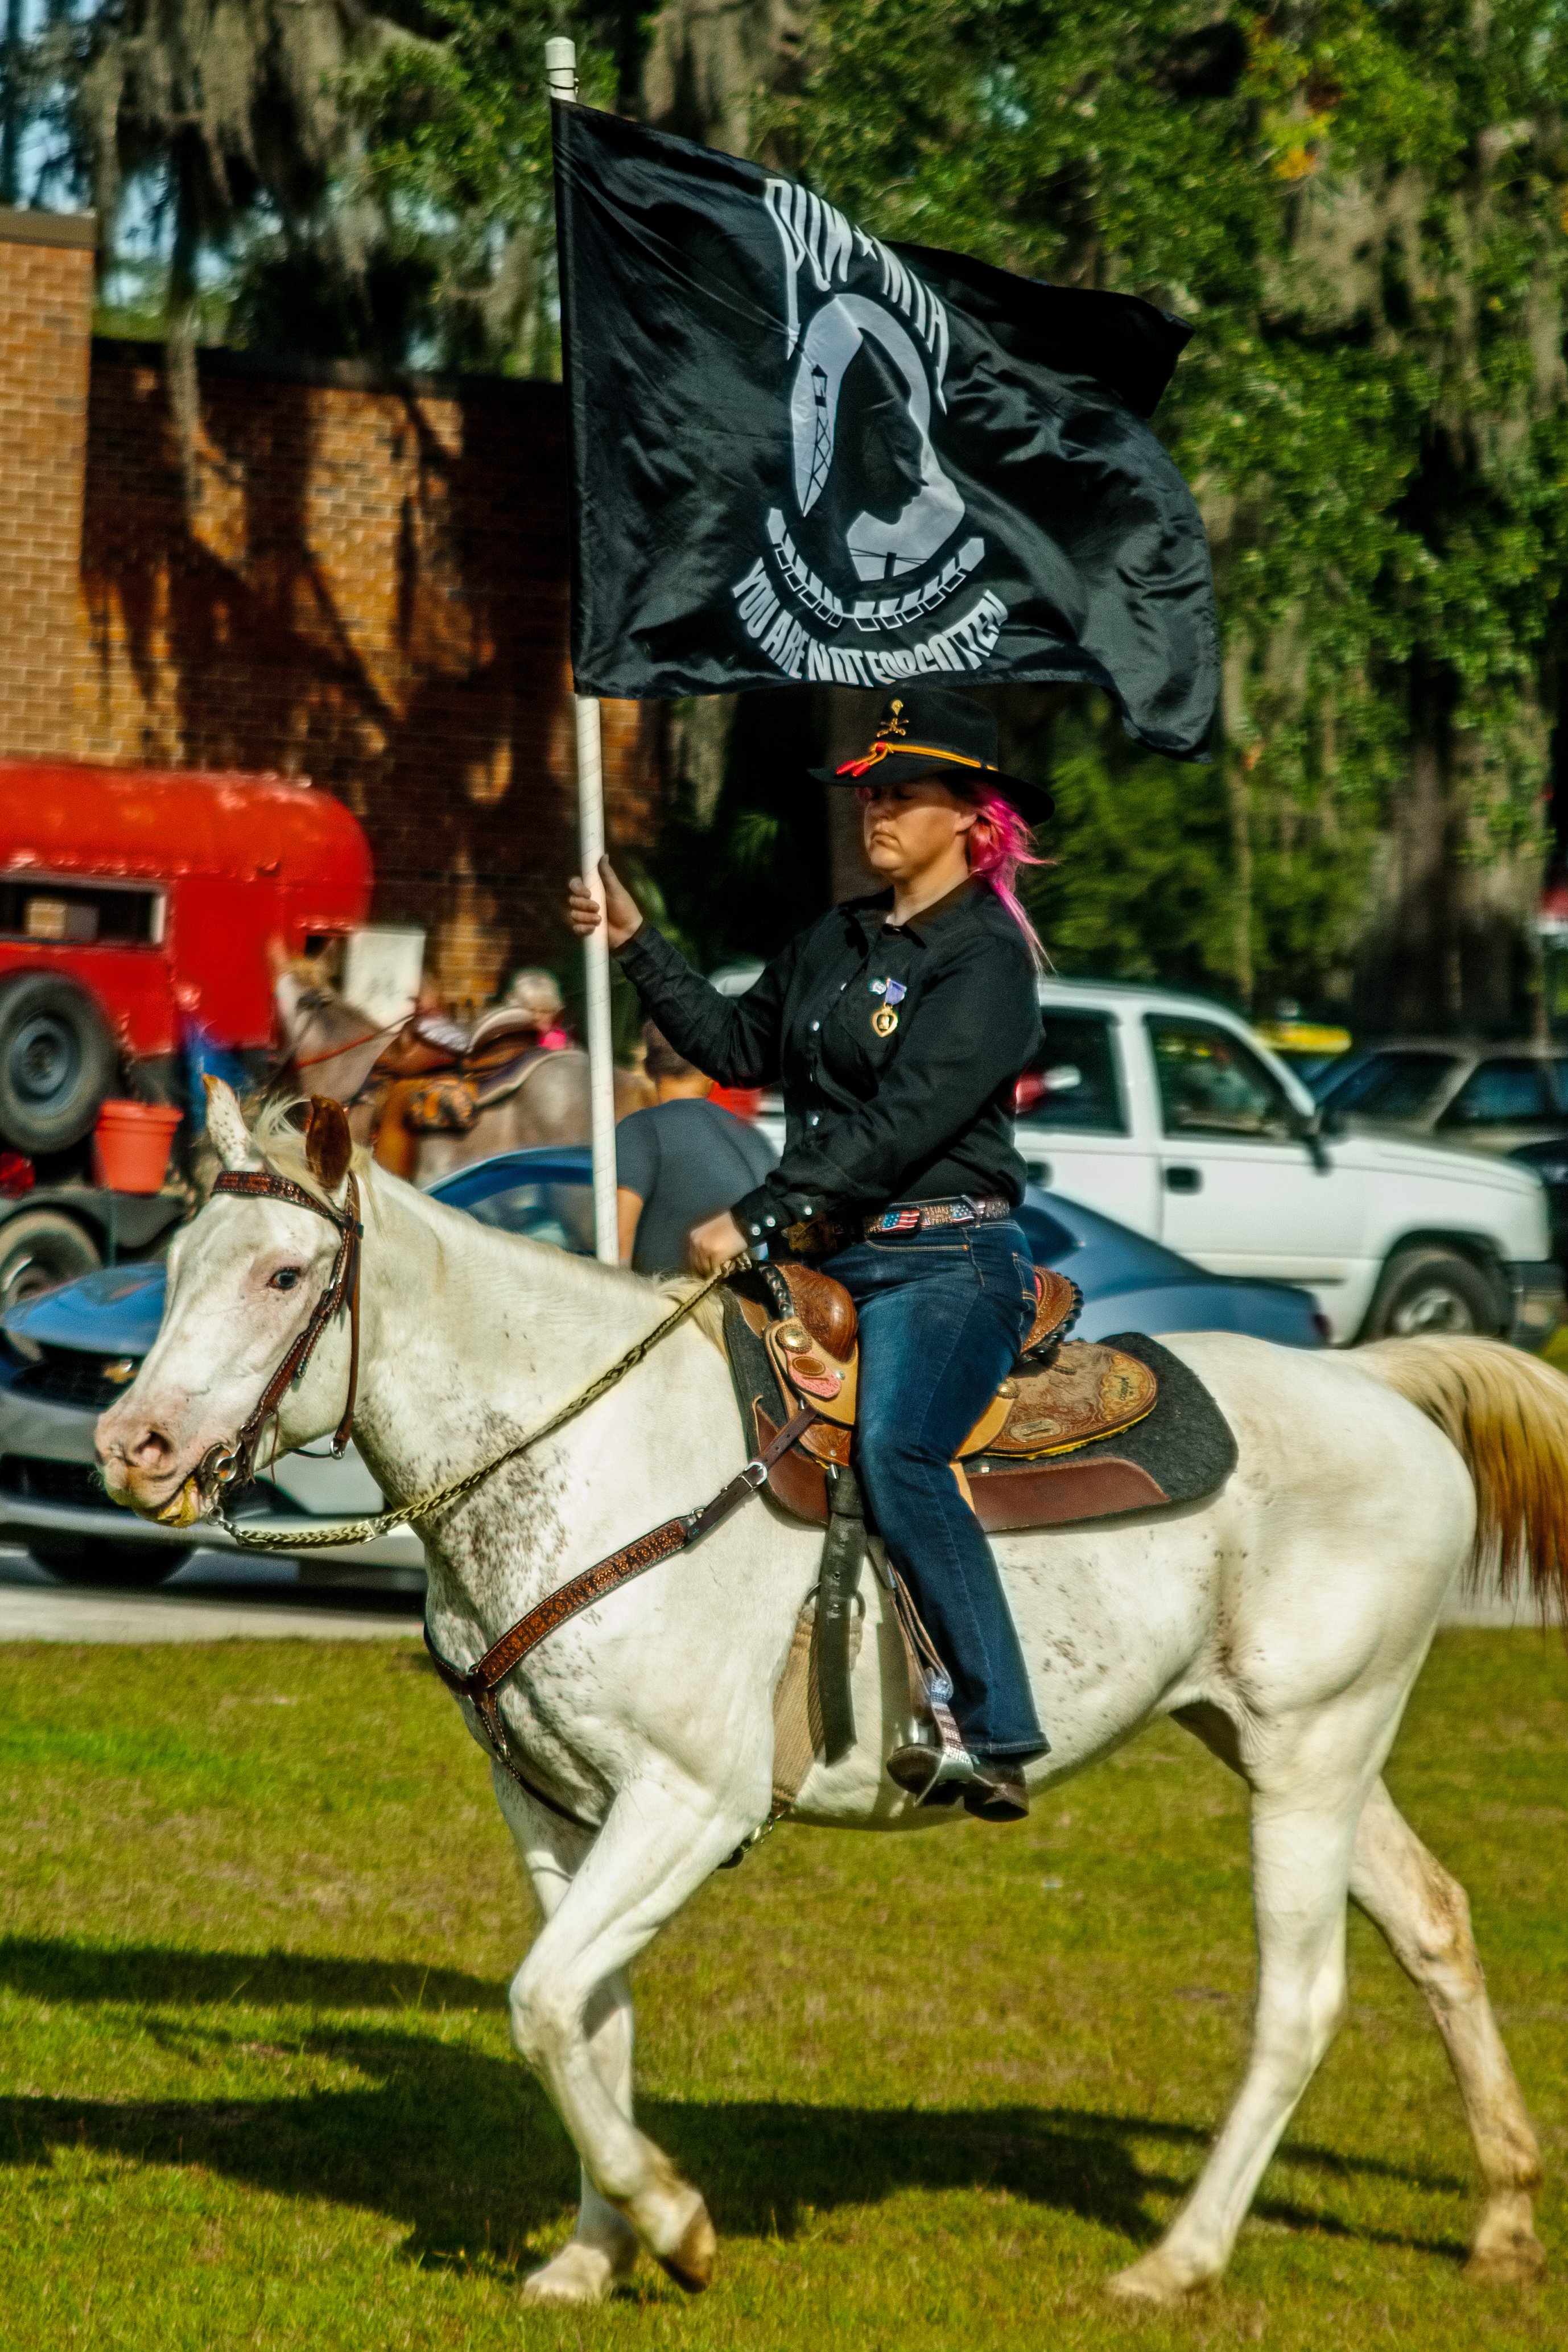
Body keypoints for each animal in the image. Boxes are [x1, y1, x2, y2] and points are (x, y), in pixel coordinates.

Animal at [95, 1083, 1564, 2310]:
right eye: (174, 1266)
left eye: (286, 1273)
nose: (134, 1445)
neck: (587, 1451)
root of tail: (1372, 1378)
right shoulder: (556, 1813)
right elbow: (586, 2020)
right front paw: (591, 2255)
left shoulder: (689, 1802)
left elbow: (542, 2004)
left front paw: (674, 2225)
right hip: (1283, 1742)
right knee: (1433, 1923)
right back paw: (1500, 2221)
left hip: (1310, 1750)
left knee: (1299, 1996)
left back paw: (1178, 2260)